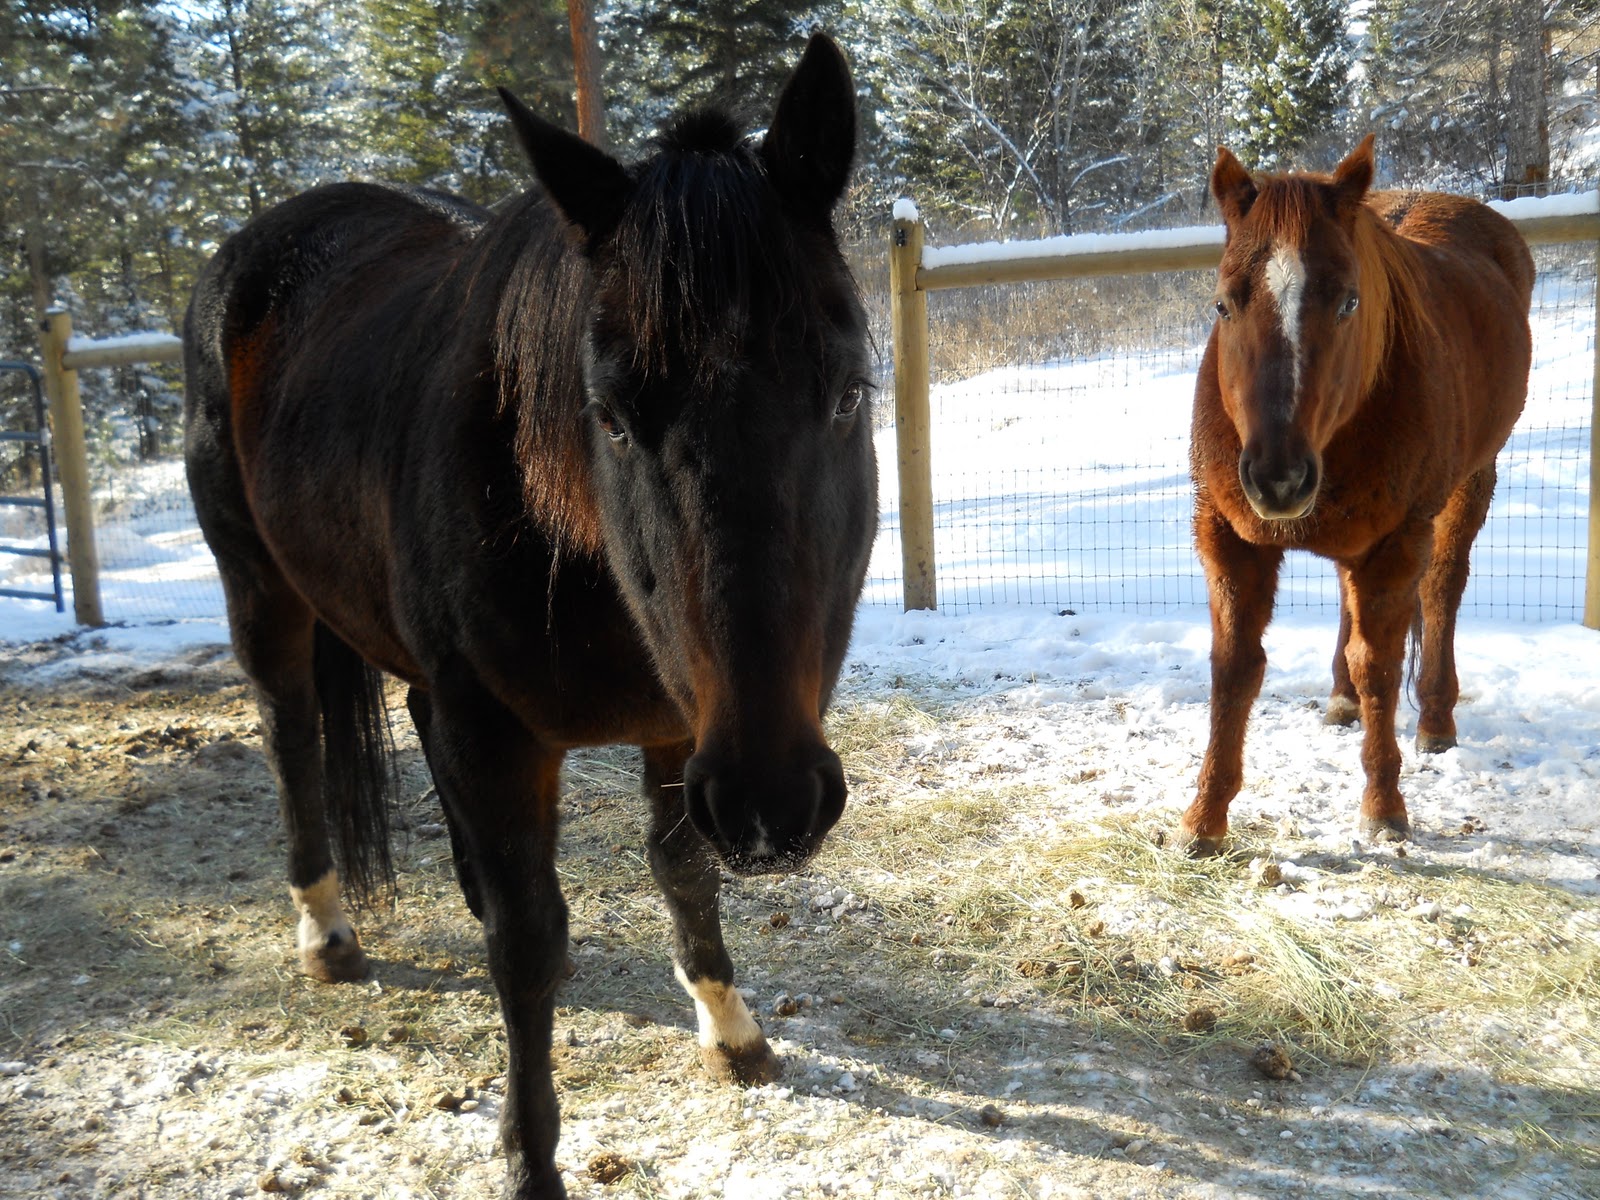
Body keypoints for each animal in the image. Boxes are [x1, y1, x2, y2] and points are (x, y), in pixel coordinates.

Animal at [182, 35, 877, 1198]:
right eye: (610, 415)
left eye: (850, 392)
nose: (773, 804)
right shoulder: (510, 729)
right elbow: (527, 943)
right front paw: (528, 1154)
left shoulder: (683, 725)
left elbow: (680, 868)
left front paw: (731, 1028)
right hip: (264, 593)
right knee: (293, 740)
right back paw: (326, 931)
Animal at [1181, 134, 1533, 856]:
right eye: (1224, 304)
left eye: (1348, 303)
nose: (1277, 477)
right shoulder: (1227, 537)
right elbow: (1234, 667)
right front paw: (1205, 818)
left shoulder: (1397, 543)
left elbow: (1380, 664)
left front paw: (1383, 807)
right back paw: (1341, 699)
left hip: (1469, 486)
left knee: (1442, 589)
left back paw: (1434, 719)